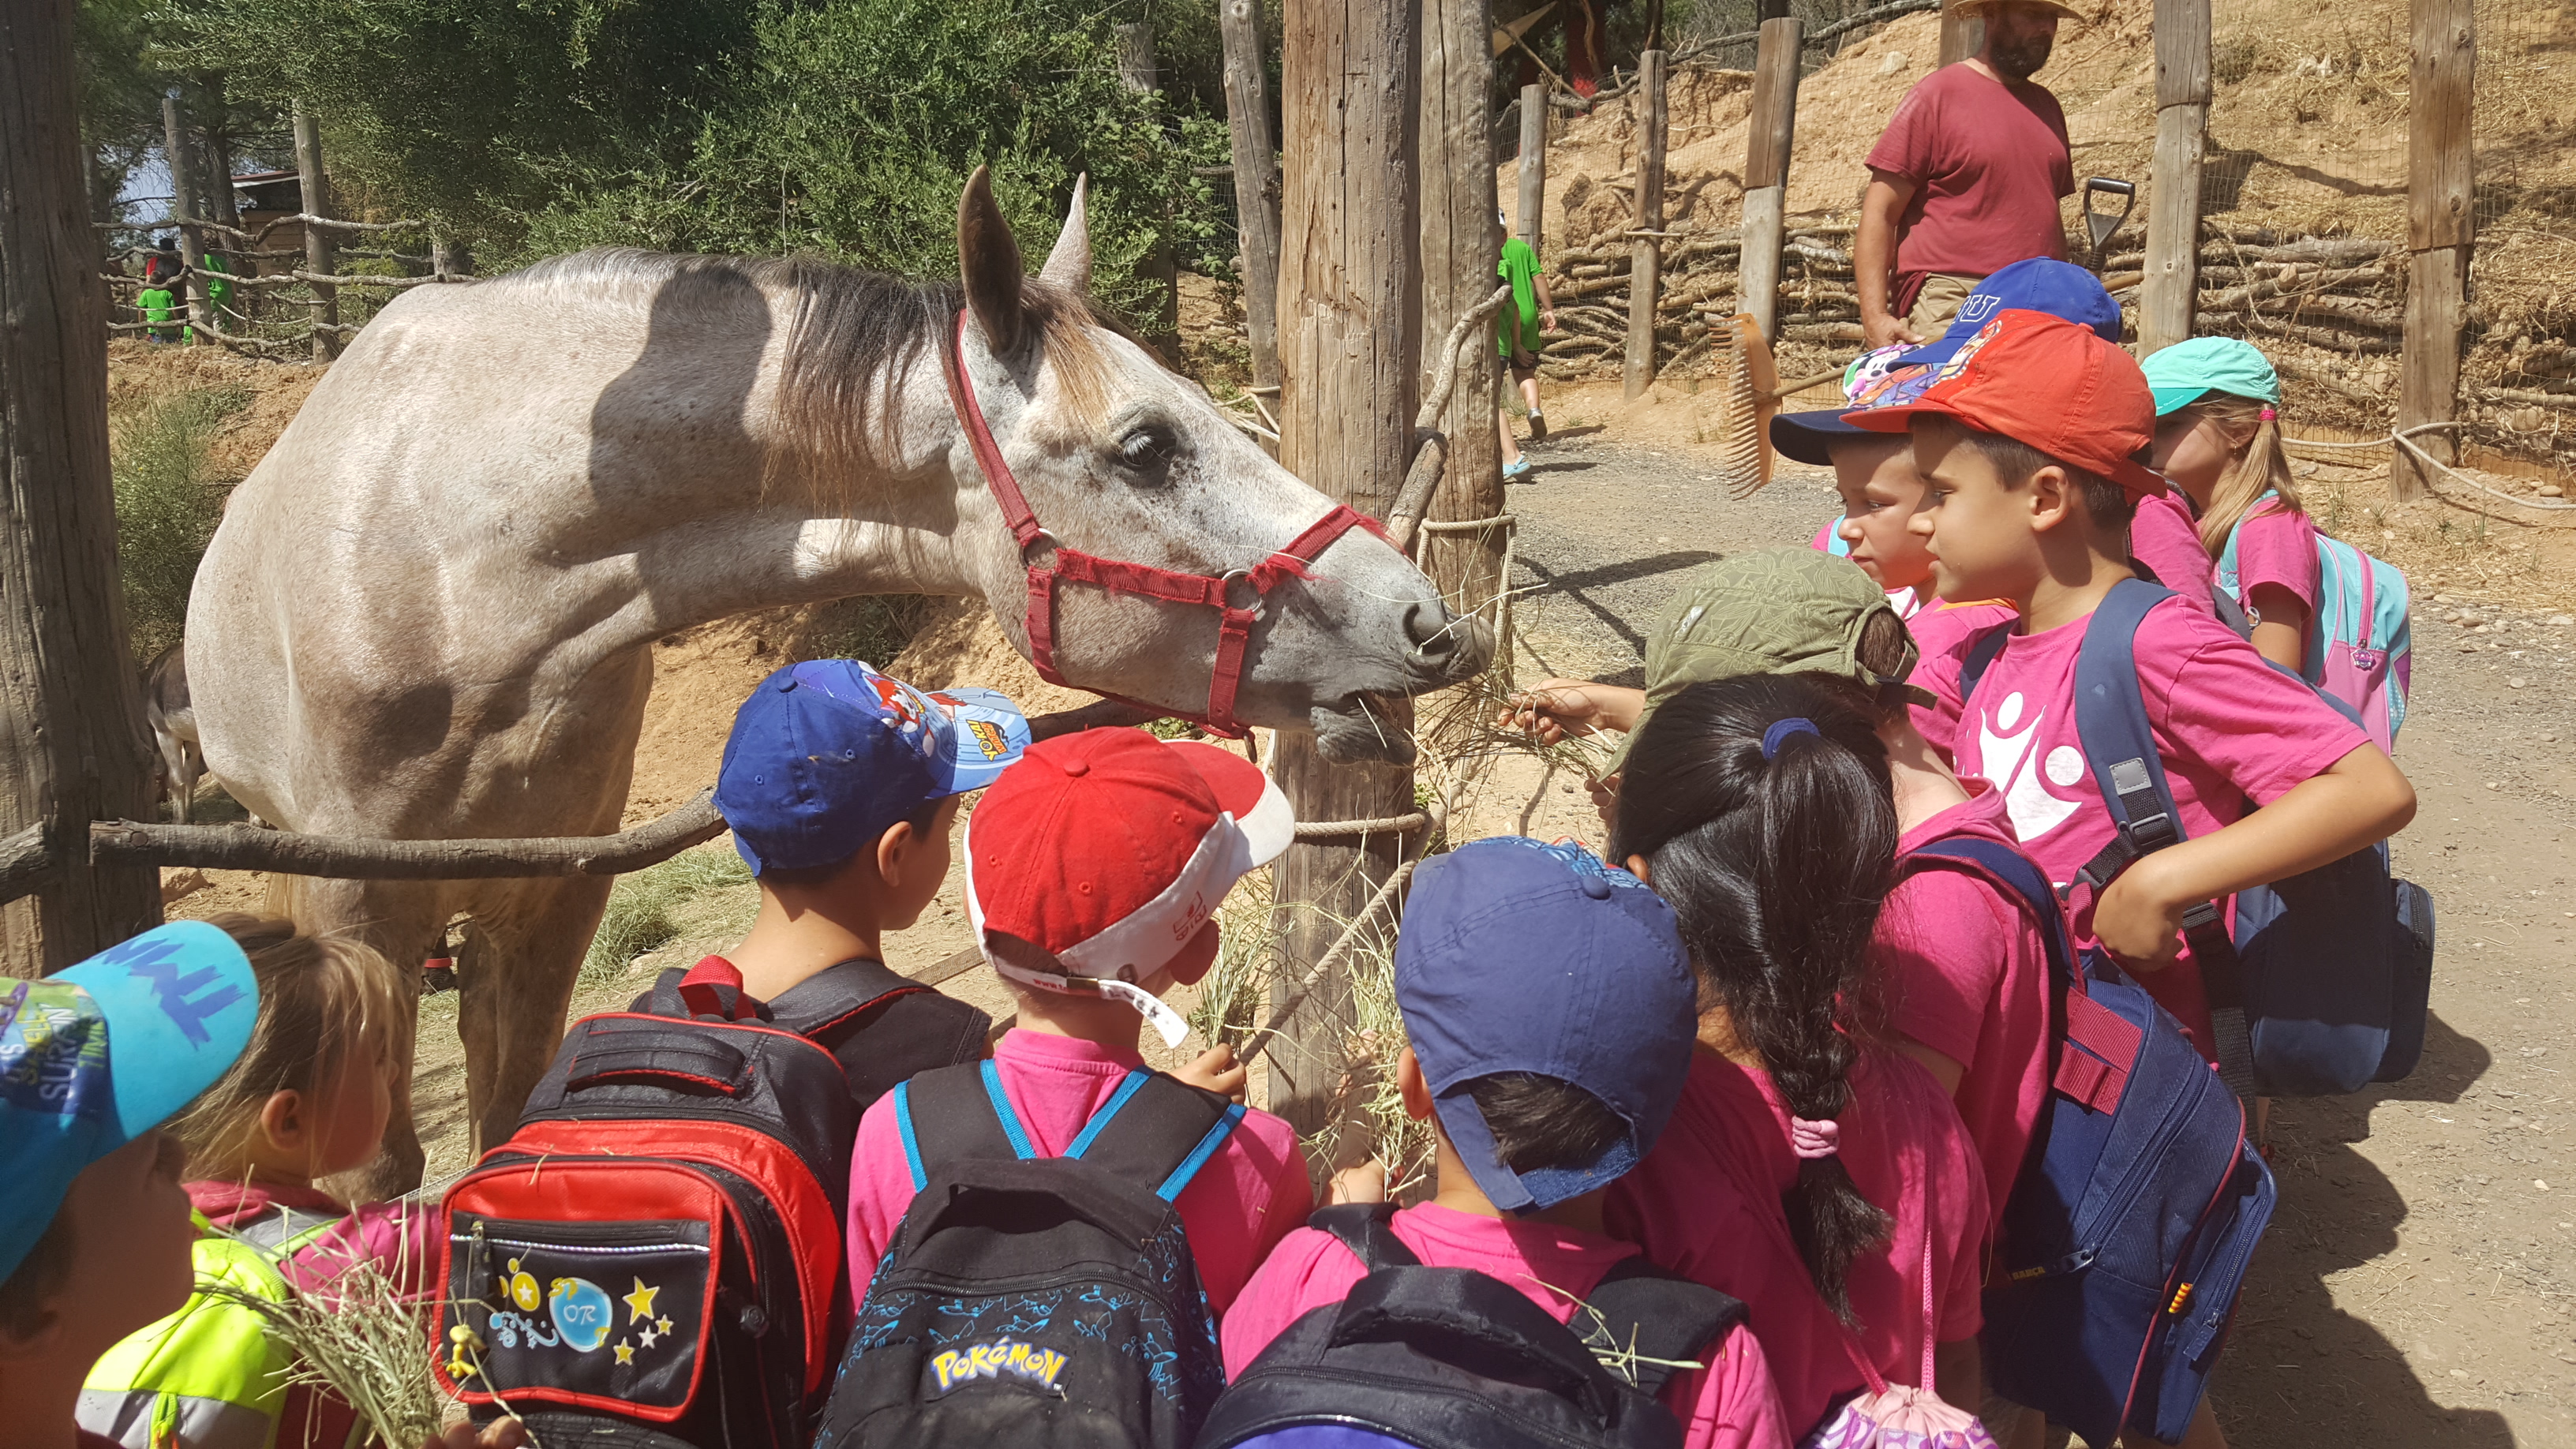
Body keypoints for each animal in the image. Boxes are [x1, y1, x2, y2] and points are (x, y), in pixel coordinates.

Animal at [186, 171, 1492, 1193]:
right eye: (1146, 447)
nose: (1429, 623)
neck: (460, 571)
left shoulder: (561, 901)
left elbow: (508, 1122)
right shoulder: (357, 919)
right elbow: (373, 1178)